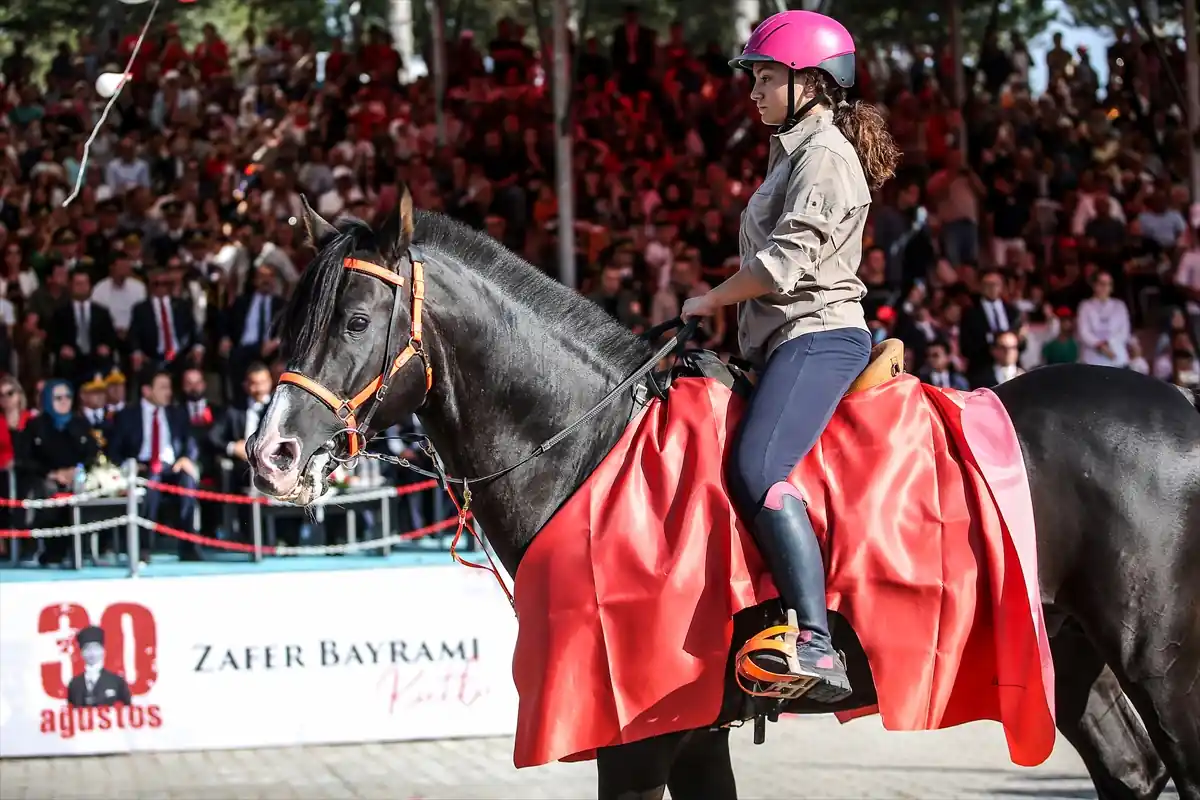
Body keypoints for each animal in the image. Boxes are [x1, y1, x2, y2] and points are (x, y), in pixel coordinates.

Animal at [248, 191, 1195, 800]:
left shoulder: (635, 732)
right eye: (290, 318)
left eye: (356, 322)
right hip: (1066, 658)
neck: (597, 446)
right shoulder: (695, 732)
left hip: (1161, 663)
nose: (271, 454)